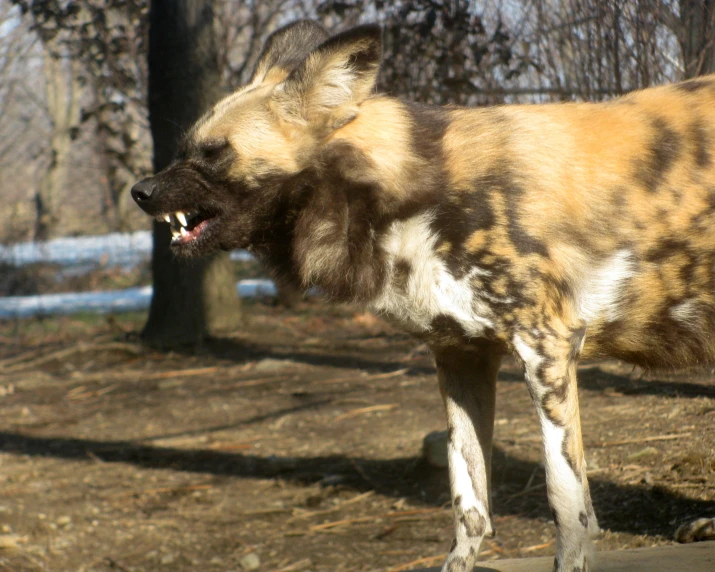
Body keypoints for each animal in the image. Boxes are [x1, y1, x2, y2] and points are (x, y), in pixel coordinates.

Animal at [130, 20, 715, 568]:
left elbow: (568, 508)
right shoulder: (461, 357)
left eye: (214, 153)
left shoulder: (546, 347)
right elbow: (469, 504)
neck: (410, 194)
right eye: (182, 149)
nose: (140, 191)